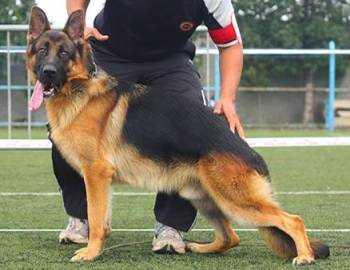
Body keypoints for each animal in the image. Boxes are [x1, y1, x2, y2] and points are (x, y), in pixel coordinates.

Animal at [28, 6, 330, 266]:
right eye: (43, 51)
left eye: (64, 53)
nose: (47, 73)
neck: (79, 90)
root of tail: (249, 151)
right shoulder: (98, 180)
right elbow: (100, 219)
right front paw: (94, 246)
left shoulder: (96, 175)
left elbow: (96, 217)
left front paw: (91, 253)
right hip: (203, 198)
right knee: (231, 237)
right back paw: (197, 247)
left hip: (235, 201)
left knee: (293, 220)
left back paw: (305, 256)